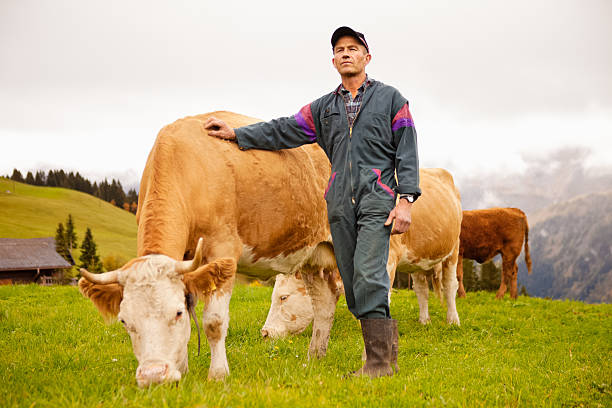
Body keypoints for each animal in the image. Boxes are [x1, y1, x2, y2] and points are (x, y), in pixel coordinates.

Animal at [77, 112, 340, 386]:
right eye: (124, 321)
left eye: (177, 313)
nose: (153, 375)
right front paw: (182, 369)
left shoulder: (222, 251)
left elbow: (214, 323)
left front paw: (218, 375)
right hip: (313, 257)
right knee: (324, 302)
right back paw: (314, 358)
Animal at [260, 167, 462, 340]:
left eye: (283, 297)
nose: (265, 333)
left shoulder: (388, 259)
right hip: (418, 260)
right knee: (421, 289)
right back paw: (424, 320)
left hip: (453, 251)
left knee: (450, 285)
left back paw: (453, 320)